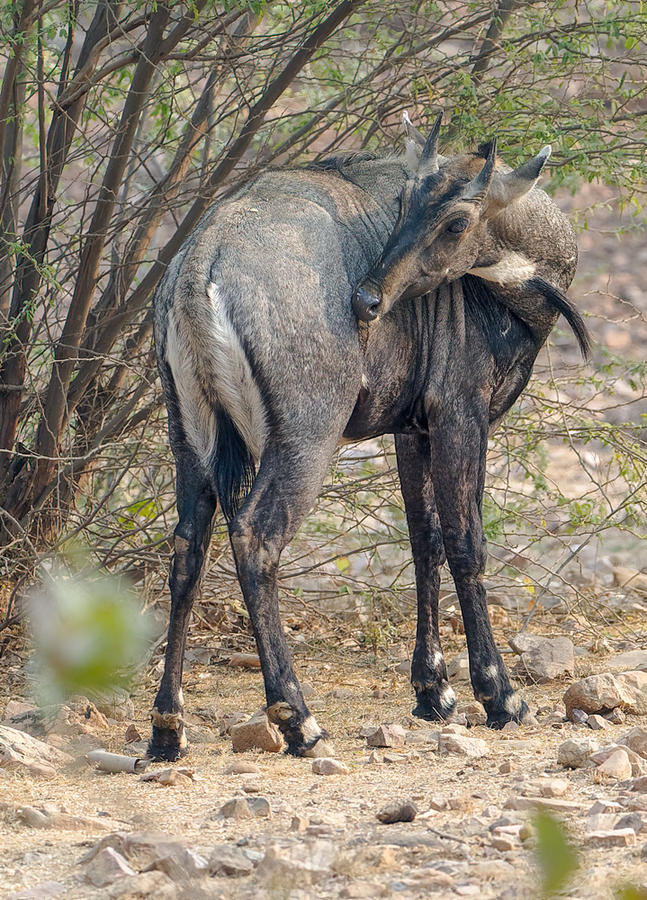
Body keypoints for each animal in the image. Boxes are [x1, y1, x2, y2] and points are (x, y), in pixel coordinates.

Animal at [149, 112, 588, 760]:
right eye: (403, 201)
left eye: (455, 220)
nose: (366, 300)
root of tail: (203, 257)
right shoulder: (460, 414)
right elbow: (466, 542)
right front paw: (499, 695)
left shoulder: (413, 430)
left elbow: (425, 540)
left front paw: (433, 692)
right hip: (305, 437)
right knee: (255, 536)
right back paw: (298, 719)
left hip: (191, 440)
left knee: (187, 551)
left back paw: (166, 728)